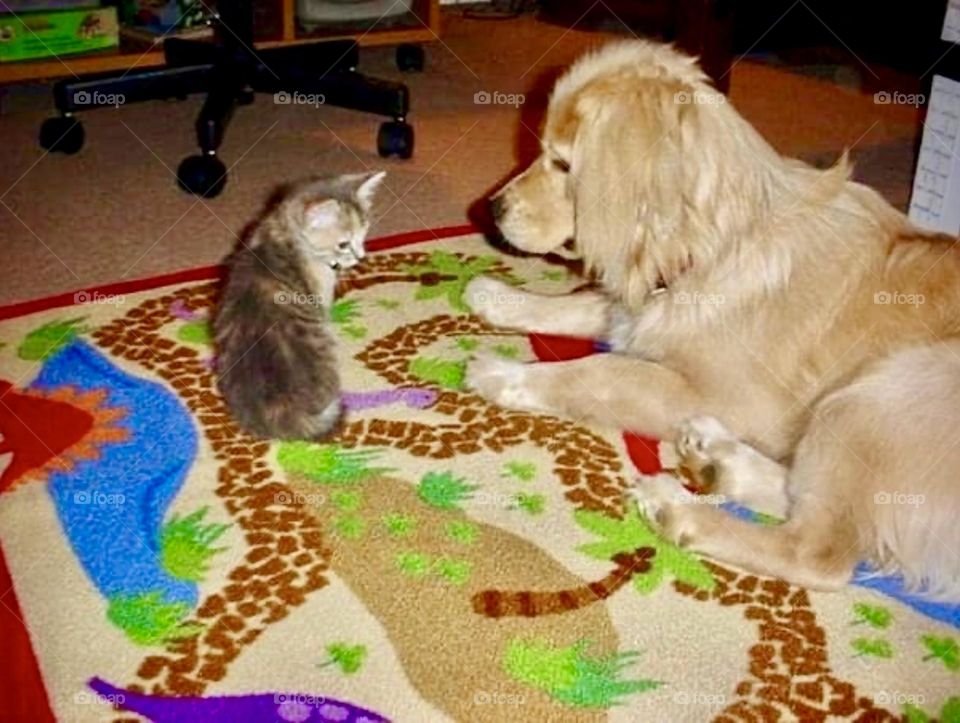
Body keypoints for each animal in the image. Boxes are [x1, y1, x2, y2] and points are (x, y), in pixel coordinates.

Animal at [464, 42, 960, 604]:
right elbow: (583, 305)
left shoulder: (728, 396)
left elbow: (600, 372)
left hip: (877, 396)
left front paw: (505, 374)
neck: (710, 247)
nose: (491, 210)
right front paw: (498, 297)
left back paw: (678, 507)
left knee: (819, 551)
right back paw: (717, 460)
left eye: (563, 163)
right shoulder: (639, 309)